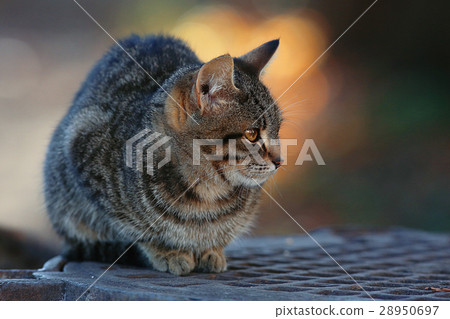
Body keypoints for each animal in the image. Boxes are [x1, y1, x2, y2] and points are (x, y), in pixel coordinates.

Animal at [42, 34, 282, 276]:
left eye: (277, 131)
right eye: (252, 134)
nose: (279, 161)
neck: (207, 192)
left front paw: (211, 250)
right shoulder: (82, 146)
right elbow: (139, 230)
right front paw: (167, 252)